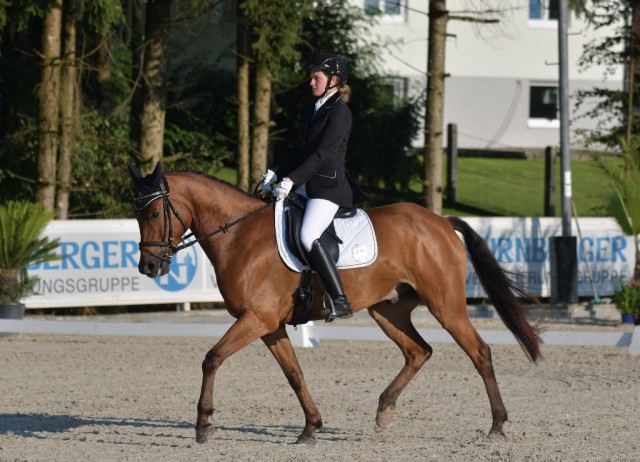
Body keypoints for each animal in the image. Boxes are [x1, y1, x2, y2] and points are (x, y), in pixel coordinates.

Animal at [129, 164, 540, 446]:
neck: (239, 235)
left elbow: (211, 358)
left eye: (154, 213)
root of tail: (439, 221)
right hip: (387, 310)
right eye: (136, 214)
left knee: (480, 352)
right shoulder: (270, 325)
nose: (148, 267)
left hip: (446, 305)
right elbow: (294, 374)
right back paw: (384, 410)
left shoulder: (256, 319)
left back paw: (497, 425)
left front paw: (203, 424)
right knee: (418, 351)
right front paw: (311, 428)